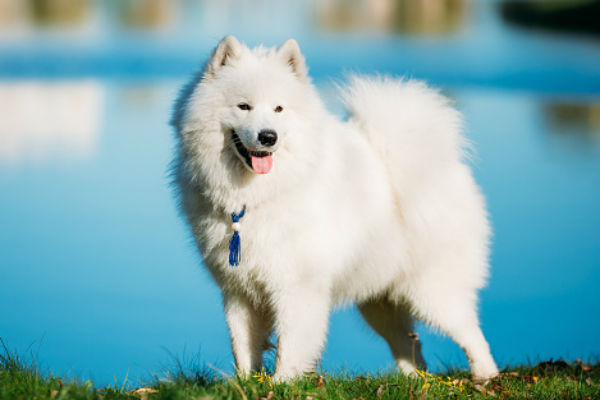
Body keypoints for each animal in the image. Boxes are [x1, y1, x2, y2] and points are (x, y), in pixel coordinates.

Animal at [171, 36, 500, 382]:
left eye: (278, 109)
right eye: (243, 106)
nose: (268, 136)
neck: (257, 197)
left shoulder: (297, 286)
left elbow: (290, 345)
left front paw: (283, 383)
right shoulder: (238, 290)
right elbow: (243, 347)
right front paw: (245, 384)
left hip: (430, 290)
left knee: (472, 333)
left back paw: (485, 377)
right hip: (379, 300)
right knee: (410, 345)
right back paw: (413, 379)